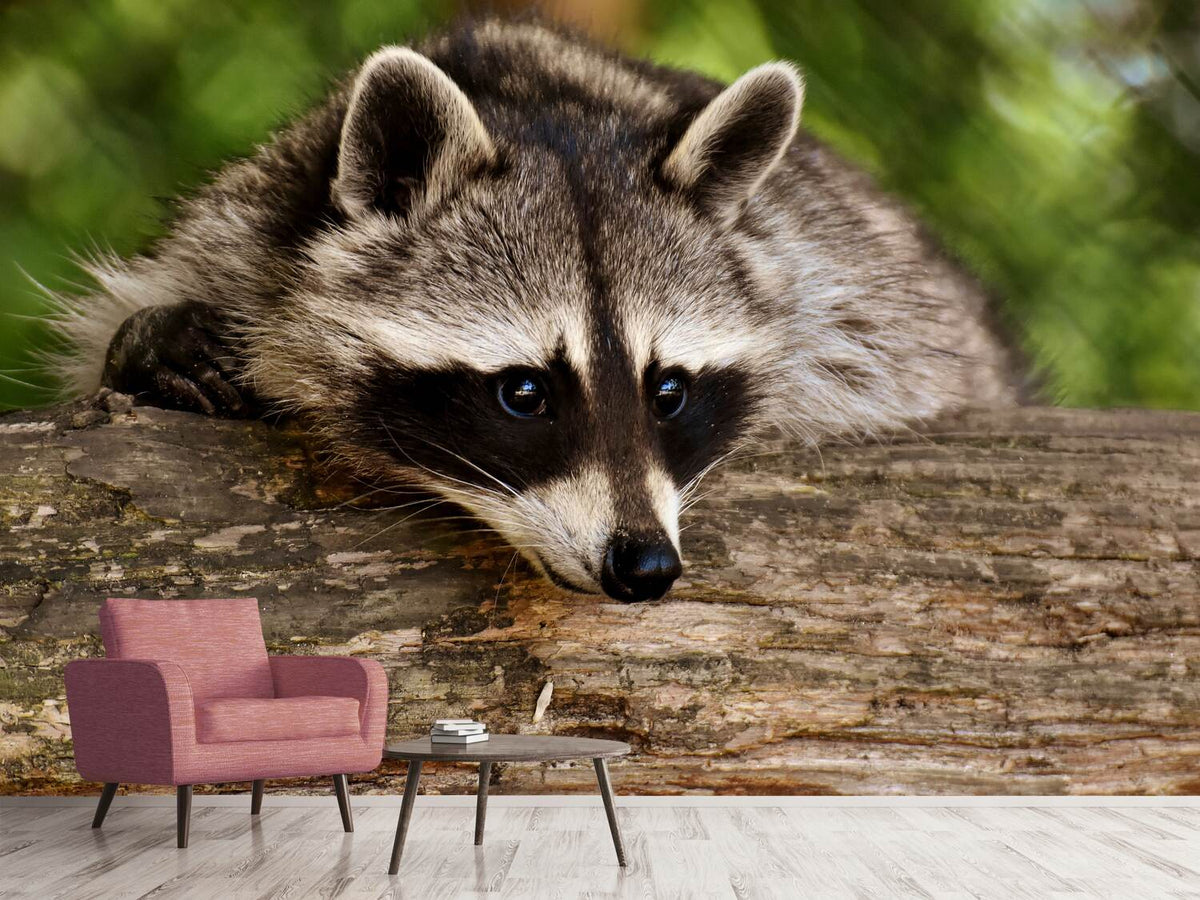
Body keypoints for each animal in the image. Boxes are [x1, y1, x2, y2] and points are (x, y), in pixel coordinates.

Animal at [52, 18, 1020, 602]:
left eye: (668, 391)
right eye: (524, 393)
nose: (645, 566)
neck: (541, 102)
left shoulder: (843, 286)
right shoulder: (240, 227)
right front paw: (152, 345)